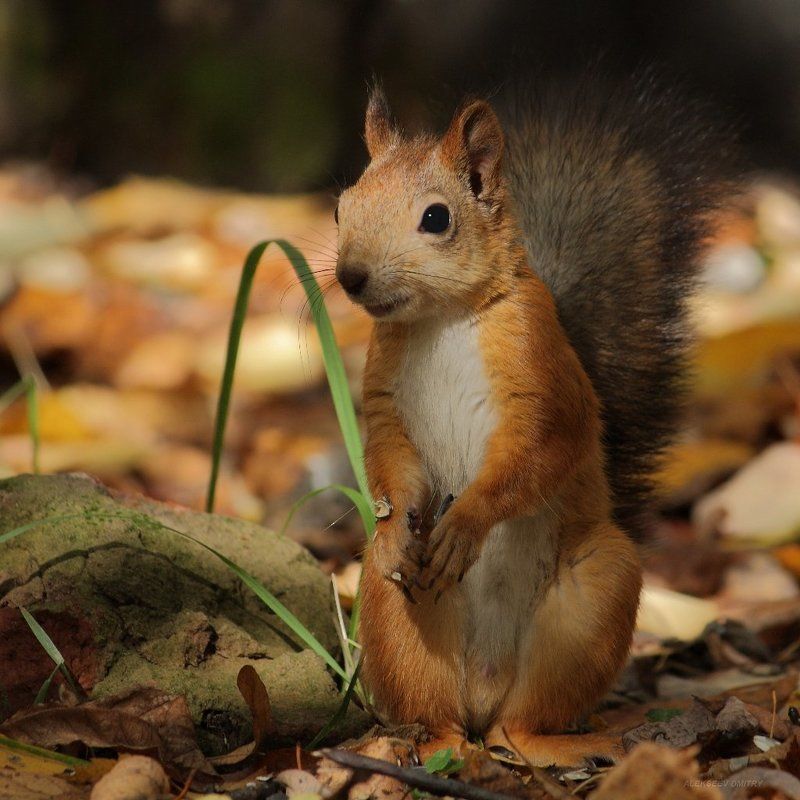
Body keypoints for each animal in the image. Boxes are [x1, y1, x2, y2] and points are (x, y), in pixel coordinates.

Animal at [333, 77, 733, 766]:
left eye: (436, 218)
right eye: (341, 206)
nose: (349, 276)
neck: (440, 319)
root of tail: (485, 692)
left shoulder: (542, 374)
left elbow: (540, 453)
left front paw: (465, 523)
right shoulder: (384, 399)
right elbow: (390, 458)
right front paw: (395, 528)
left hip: (593, 595)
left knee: (525, 719)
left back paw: (556, 744)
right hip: (396, 612)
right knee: (441, 708)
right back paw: (426, 743)